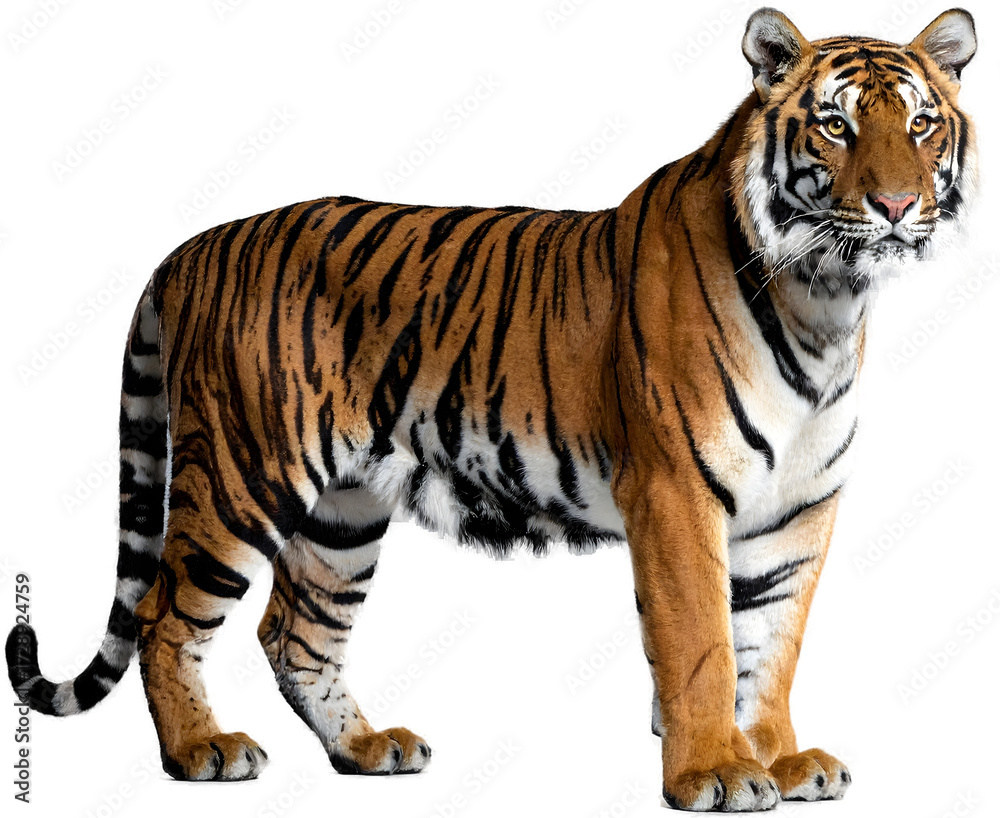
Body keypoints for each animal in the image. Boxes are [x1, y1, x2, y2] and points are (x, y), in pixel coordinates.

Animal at [5, 6, 977, 812]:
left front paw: (778, 758)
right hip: (246, 473)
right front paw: (716, 772)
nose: (897, 206)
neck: (827, 301)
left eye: (920, 124)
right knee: (166, 615)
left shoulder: (799, 511)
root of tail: (193, 245)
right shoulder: (675, 493)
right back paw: (200, 751)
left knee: (296, 632)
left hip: (343, 510)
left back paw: (366, 750)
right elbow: (701, 642)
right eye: (837, 124)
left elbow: (770, 647)